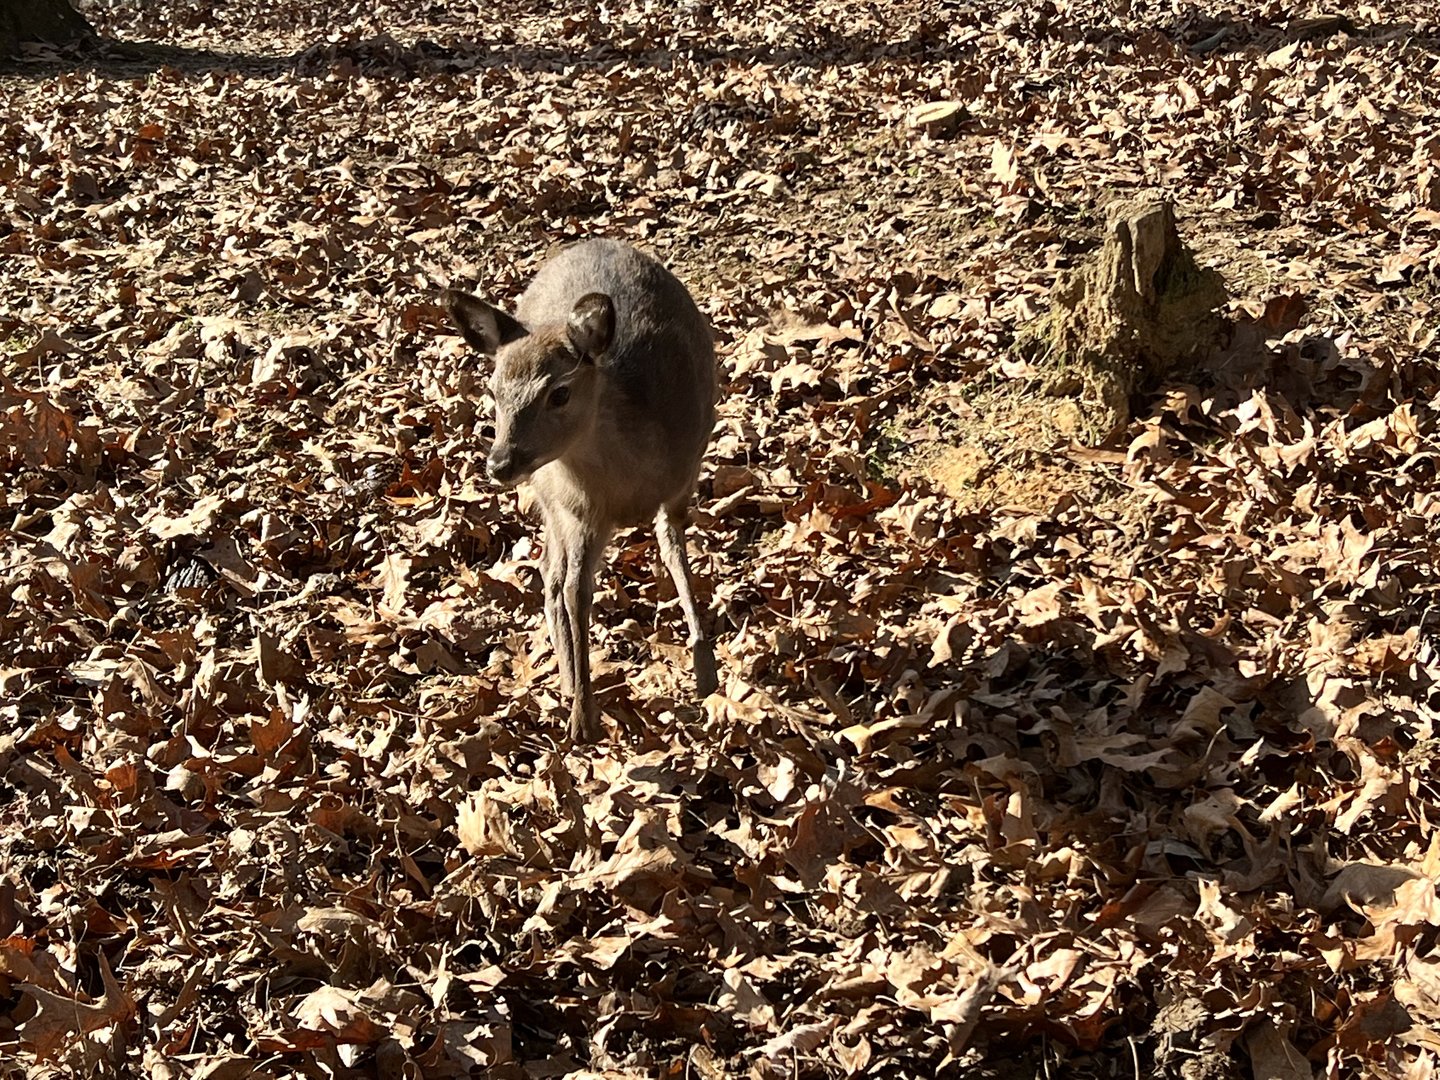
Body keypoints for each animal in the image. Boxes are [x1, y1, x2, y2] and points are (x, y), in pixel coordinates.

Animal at [443, 239, 718, 742]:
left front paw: (705, 670)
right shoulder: (581, 512)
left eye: (560, 392)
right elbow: (576, 592)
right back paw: (569, 676)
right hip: (550, 500)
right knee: (552, 576)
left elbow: (675, 554)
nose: (500, 463)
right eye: (492, 391)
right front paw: (582, 716)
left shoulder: (683, 476)